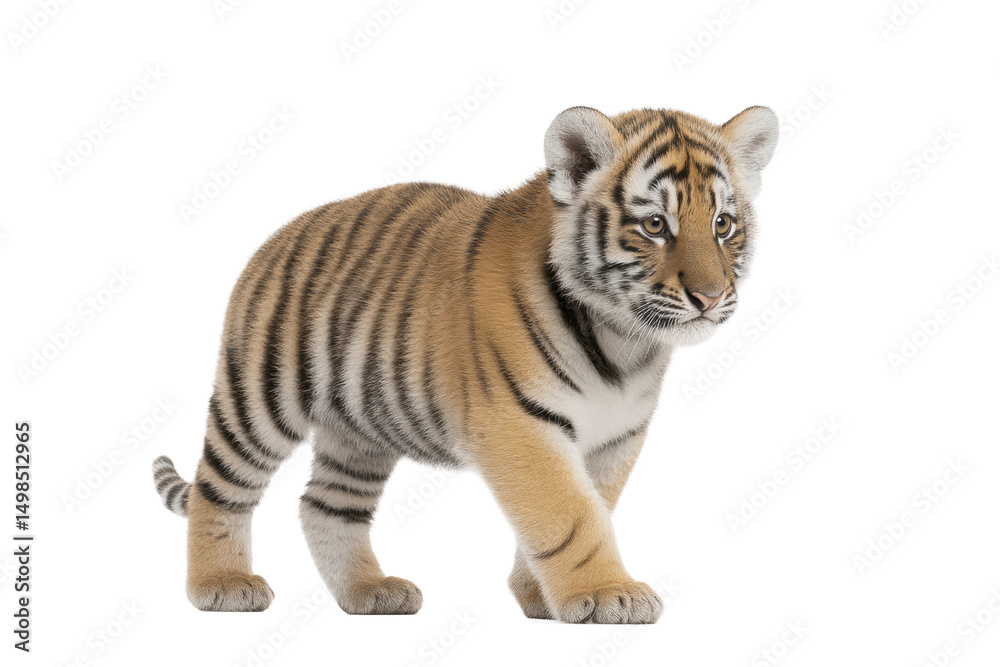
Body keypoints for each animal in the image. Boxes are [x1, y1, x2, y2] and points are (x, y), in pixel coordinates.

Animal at [152, 104, 778, 624]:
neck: (624, 340)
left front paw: (539, 596)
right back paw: (222, 584)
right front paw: (606, 595)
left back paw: (369, 592)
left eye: (722, 224)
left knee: (323, 507)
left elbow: (589, 507)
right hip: (259, 397)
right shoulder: (520, 425)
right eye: (654, 226)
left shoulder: (614, 438)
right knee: (219, 487)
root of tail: (279, 234)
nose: (710, 297)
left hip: (360, 431)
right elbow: (570, 514)